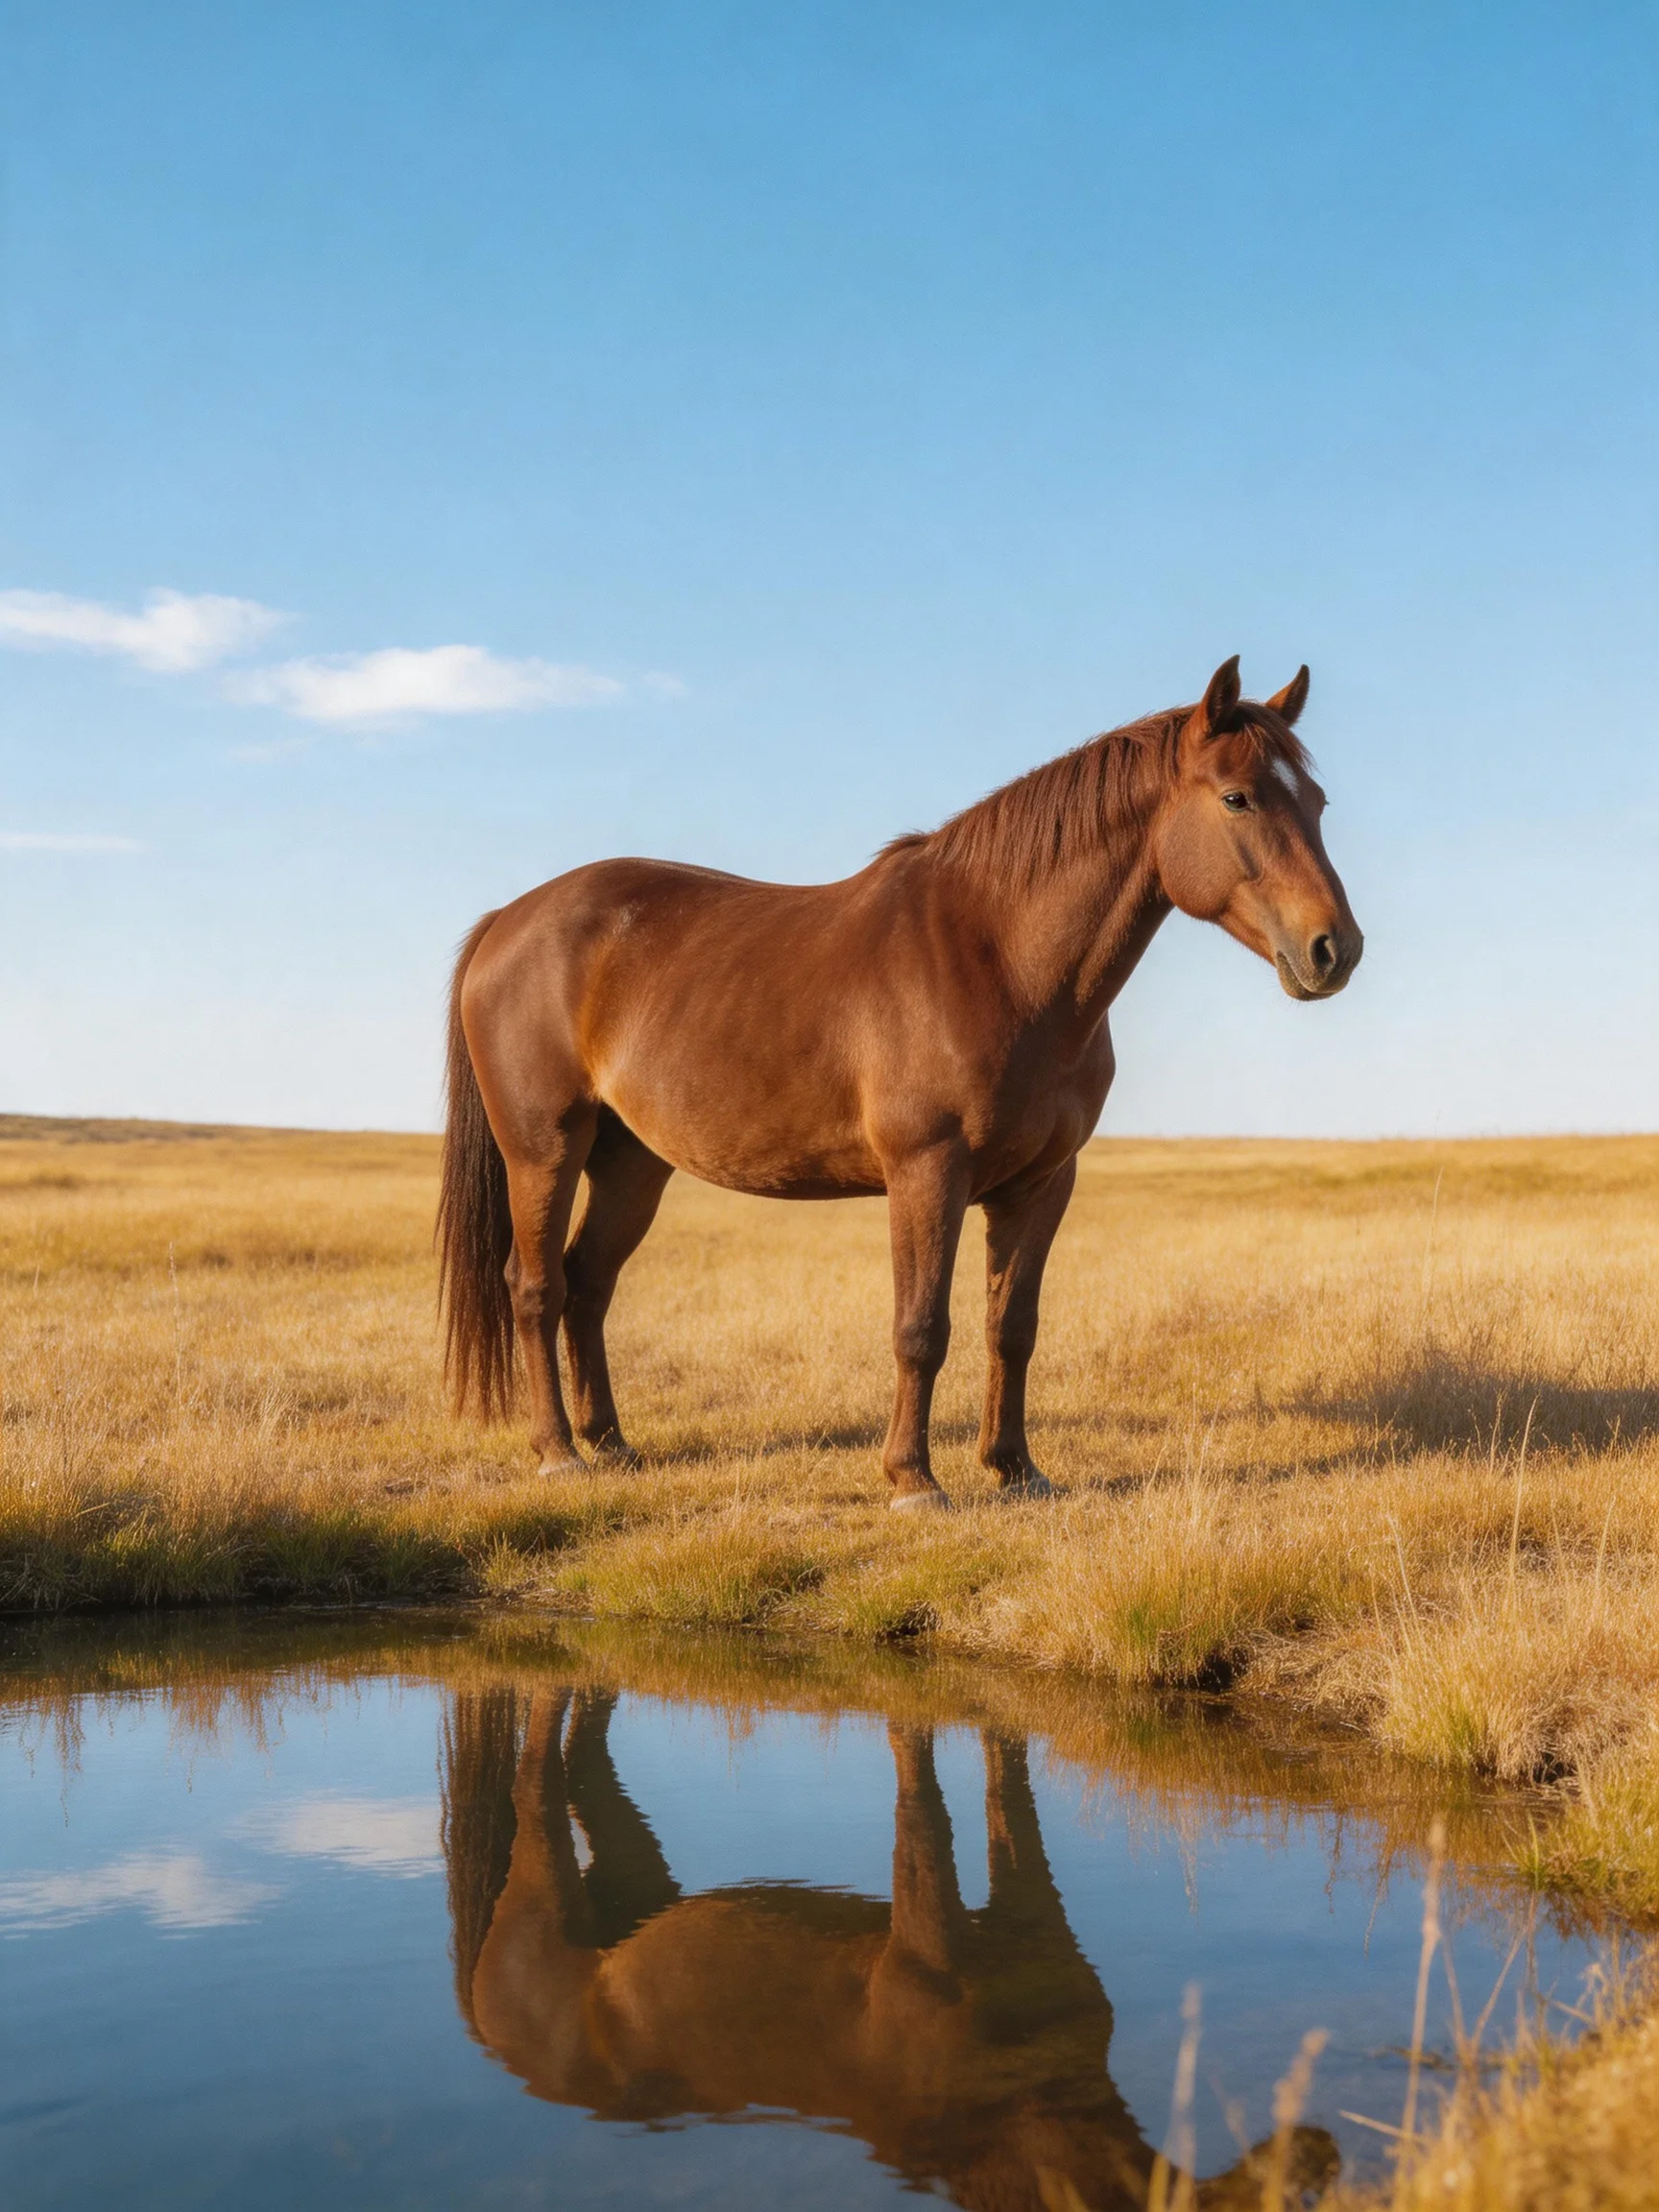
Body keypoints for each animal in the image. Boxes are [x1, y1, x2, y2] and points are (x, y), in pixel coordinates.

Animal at [438, 657, 1361, 1506]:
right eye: (1238, 799)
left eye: (1317, 803)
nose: (1335, 950)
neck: (998, 957)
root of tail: (507, 922)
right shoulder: (927, 1172)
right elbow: (922, 1327)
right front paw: (913, 1479)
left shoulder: (1042, 1184)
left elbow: (1010, 1327)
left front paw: (1015, 1469)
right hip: (544, 1151)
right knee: (537, 1286)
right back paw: (557, 1450)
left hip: (633, 1163)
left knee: (589, 1285)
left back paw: (613, 1444)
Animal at [443, 1685, 1339, 2211]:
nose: (1319, 2156)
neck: (1027, 2115)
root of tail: (490, 2031)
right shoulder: (927, 1937)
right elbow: (926, 1812)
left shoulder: (1027, 1905)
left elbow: (1007, 1793)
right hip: (546, 1891)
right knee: (536, 1781)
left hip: (634, 1884)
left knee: (584, 1758)